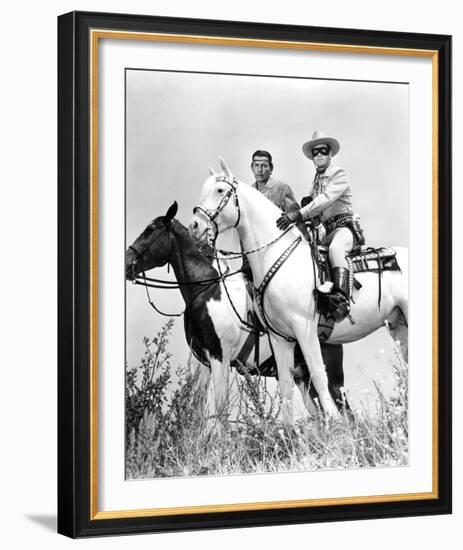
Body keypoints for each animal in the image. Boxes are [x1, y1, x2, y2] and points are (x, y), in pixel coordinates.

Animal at [125, 202, 350, 418]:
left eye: (151, 229)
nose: (127, 262)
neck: (207, 288)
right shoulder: (203, 361)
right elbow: (196, 410)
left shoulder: (219, 357)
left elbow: (221, 409)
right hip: (303, 381)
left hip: (329, 378)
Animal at [189, 161, 410, 426]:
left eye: (220, 190)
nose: (194, 226)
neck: (278, 255)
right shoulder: (281, 338)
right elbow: (286, 385)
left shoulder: (304, 329)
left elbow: (318, 376)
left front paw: (333, 423)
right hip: (399, 327)